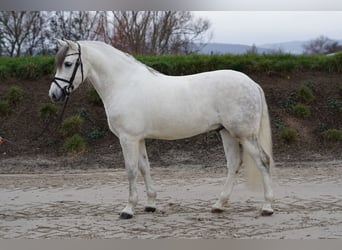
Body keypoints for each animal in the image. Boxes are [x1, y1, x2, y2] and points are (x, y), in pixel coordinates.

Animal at [48, 40, 274, 220]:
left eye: (68, 64)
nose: (54, 94)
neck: (123, 84)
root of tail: (252, 84)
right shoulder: (138, 139)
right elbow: (144, 168)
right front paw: (150, 204)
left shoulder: (128, 138)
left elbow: (131, 171)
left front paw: (128, 209)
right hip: (226, 132)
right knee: (234, 164)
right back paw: (219, 205)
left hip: (244, 135)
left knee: (263, 161)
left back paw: (267, 207)